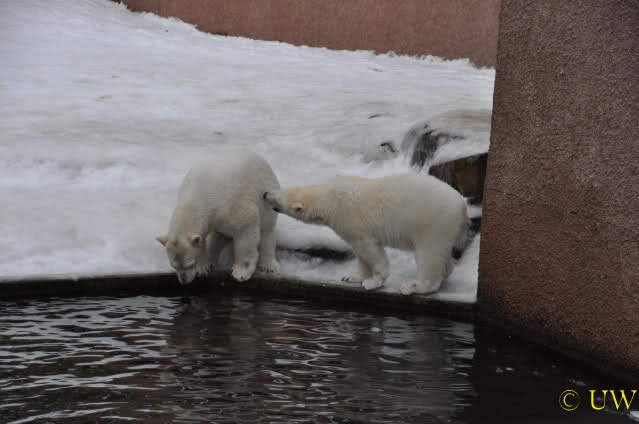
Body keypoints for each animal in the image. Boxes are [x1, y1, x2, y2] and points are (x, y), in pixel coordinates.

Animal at [157, 148, 280, 285]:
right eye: (174, 266)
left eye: (190, 264)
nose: (184, 281)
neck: (199, 194)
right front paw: (203, 267)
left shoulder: (235, 205)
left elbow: (246, 234)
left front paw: (240, 273)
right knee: (220, 235)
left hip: (266, 194)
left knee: (267, 229)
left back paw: (268, 265)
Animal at [263, 174, 469, 295]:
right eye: (279, 189)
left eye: (277, 198)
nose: (265, 193)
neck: (331, 199)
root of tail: (462, 205)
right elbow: (360, 252)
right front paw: (353, 277)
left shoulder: (350, 219)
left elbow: (369, 247)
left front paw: (374, 281)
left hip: (433, 222)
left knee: (429, 255)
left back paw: (414, 286)